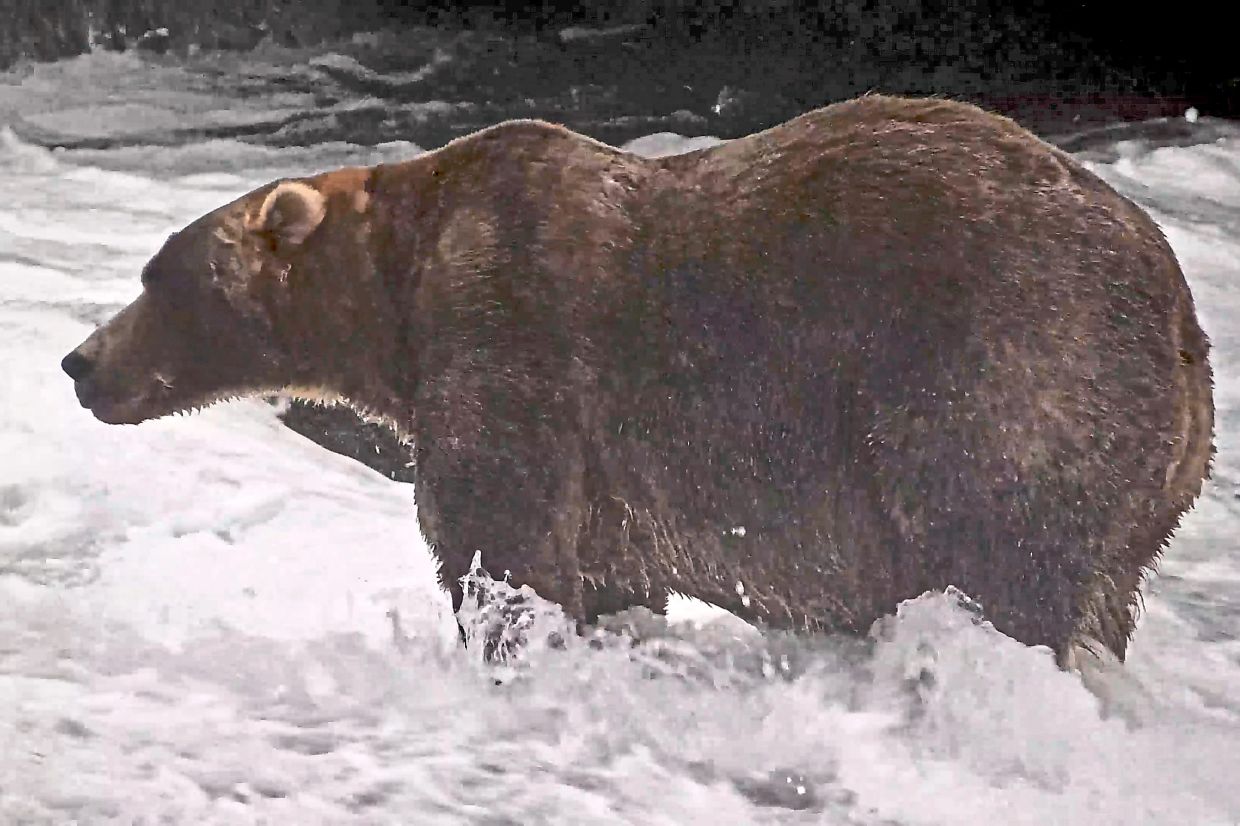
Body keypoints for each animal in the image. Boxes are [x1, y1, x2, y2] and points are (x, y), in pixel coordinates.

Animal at [61, 94, 1214, 666]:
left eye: (158, 277)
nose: (80, 362)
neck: (397, 293)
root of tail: (1182, 316)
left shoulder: (512, 334)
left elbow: (500, 539)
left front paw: (505, 641)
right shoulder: (609, 473)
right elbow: (607, 571)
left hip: (1005, 369)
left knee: (1000, 554)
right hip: (1145, 484)